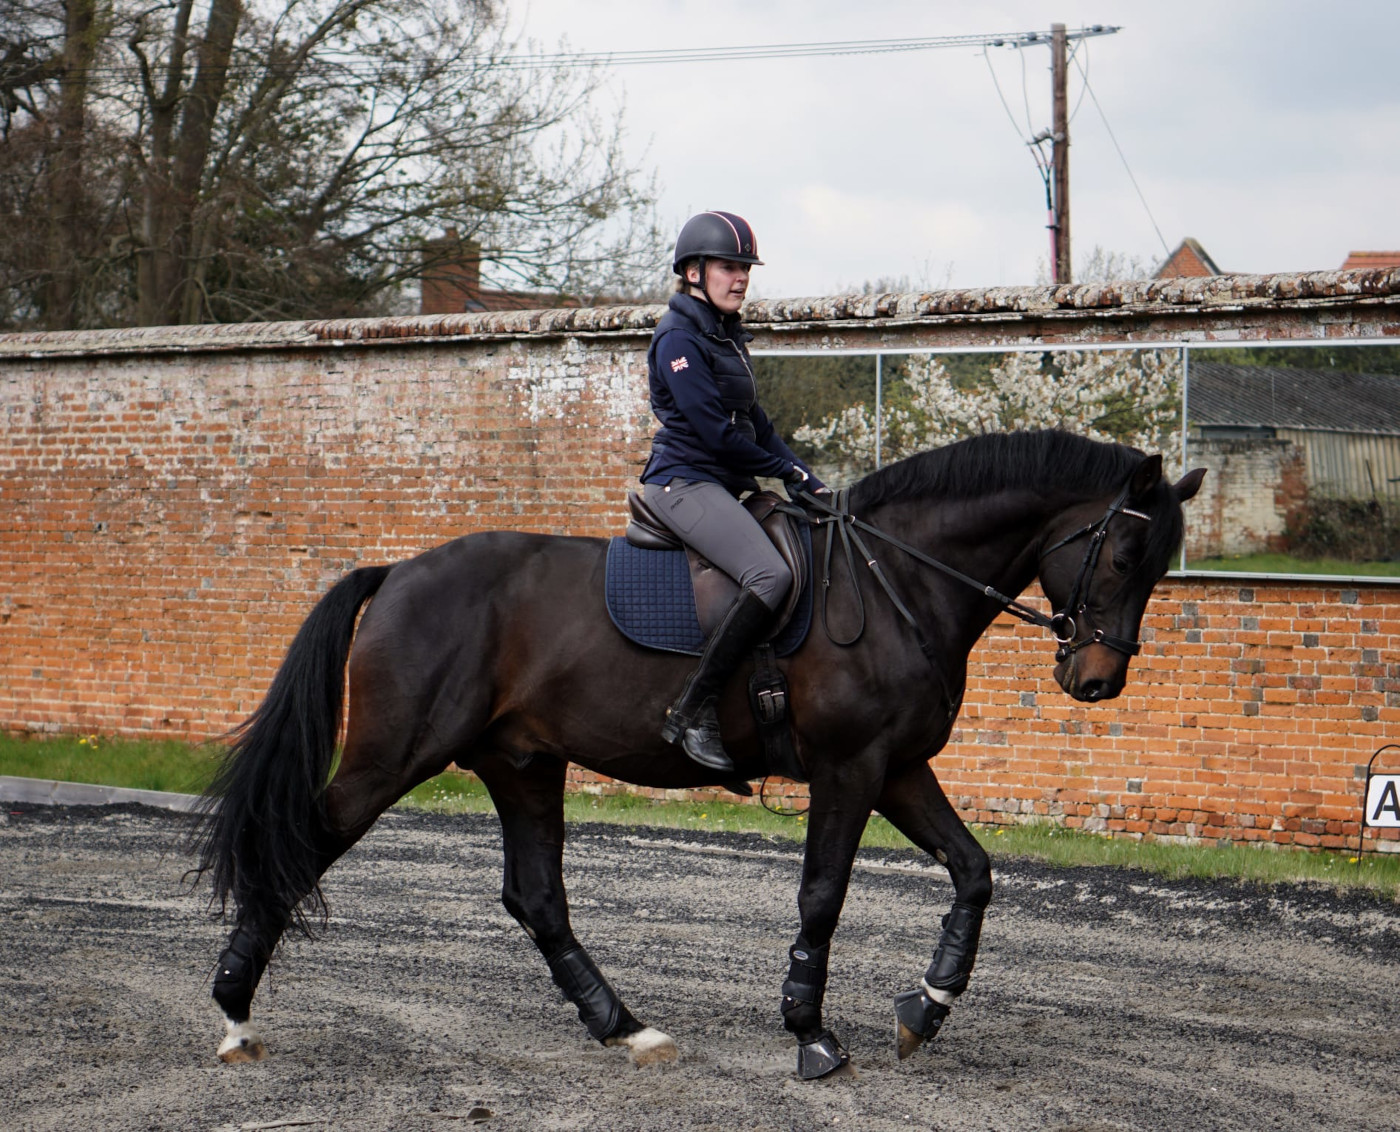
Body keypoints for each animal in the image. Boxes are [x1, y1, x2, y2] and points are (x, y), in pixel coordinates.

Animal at [192, 428, 1204, 1078]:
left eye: (1158, 569)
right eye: (1123, 557)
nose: (1097, 680)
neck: (898, 578)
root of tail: (398, 571)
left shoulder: (899, 768)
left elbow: (974, 872)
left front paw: (926, 1007)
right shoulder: (849, 768)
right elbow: (823, 896)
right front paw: (811, 1035)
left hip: (523, 765)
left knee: (538, 899)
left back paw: (626, 1029)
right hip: (390, 759)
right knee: (302, 845)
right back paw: (235, 1015)